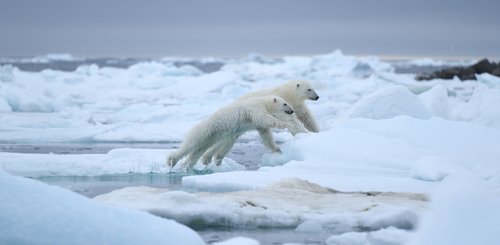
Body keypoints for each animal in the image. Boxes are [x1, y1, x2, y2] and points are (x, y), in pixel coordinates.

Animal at [167, 95, 304, 170]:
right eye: (285, 103)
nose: (292, 111)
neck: (263, 102)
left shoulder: (257, 123)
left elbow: (265, 134)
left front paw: (278, 149)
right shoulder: (254, 108)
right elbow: (264, 119)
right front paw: (285, 124)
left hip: (211, 137)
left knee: (198, 151)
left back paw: (186, 166)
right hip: (204, 131)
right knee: (190, 145)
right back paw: (171, 160)